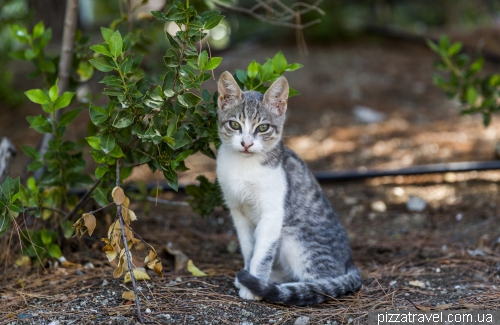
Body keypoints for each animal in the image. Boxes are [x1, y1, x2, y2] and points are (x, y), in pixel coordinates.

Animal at [217, 71, 362, 304]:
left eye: (263, 127)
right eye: (235, 125)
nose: (246, 144)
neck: (245, 167)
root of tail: (350, 262)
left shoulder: (273, 213)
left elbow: (262, 254)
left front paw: (254, 285)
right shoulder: (238, 211)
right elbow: (249, 248)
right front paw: (248, 275)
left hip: (294, 240)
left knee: (322, 282)